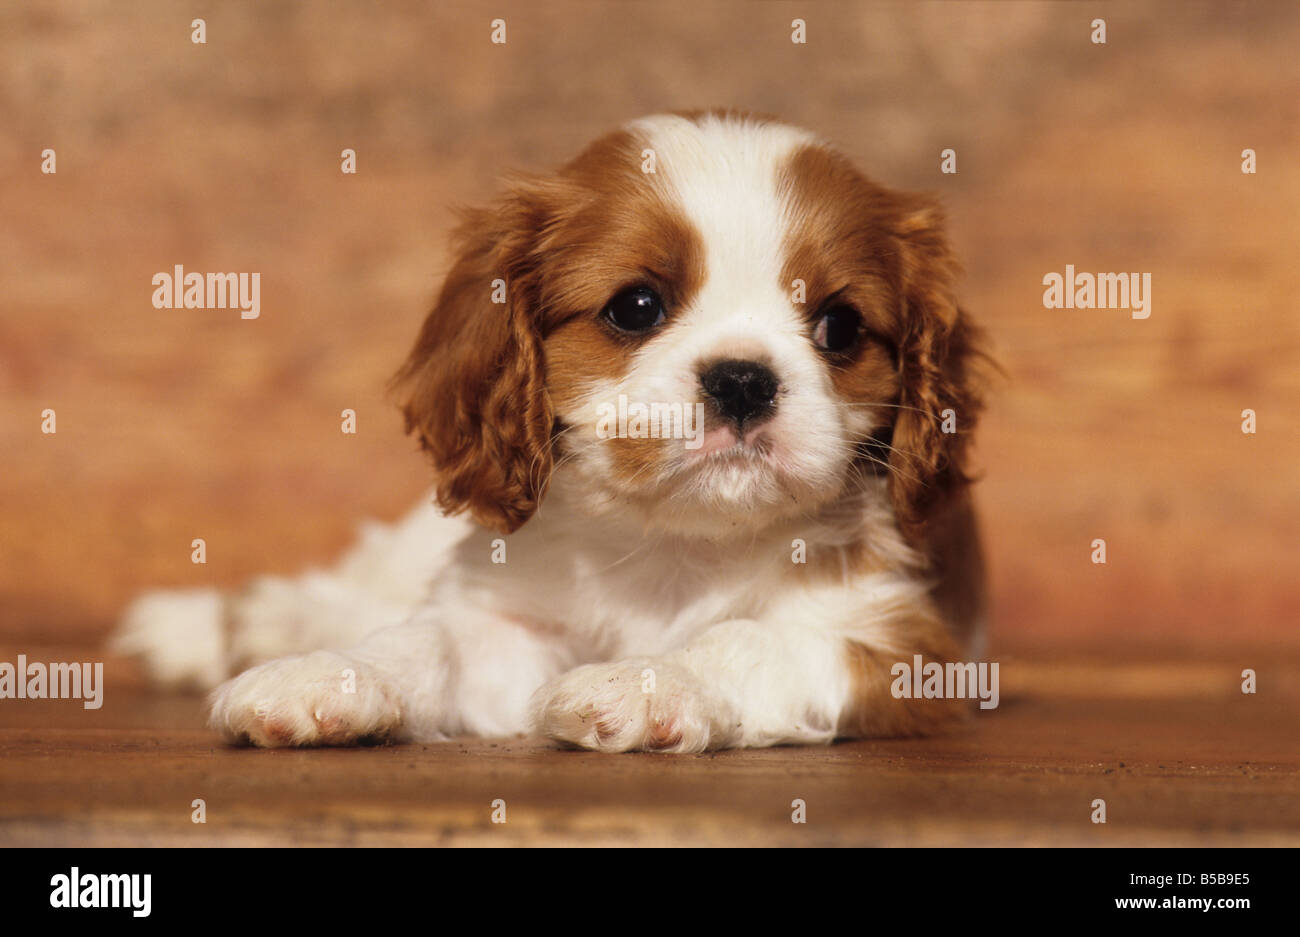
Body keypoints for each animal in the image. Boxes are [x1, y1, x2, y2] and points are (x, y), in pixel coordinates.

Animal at [111, 111, 987, 753]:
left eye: (840, 326)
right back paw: (238, 624)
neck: (676, 544)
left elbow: (746, 639)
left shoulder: (898, 643)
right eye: (636, 306)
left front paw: (647, 681)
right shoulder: (503, 618)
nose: (742, 378)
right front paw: (326, 675)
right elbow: (425, 640)